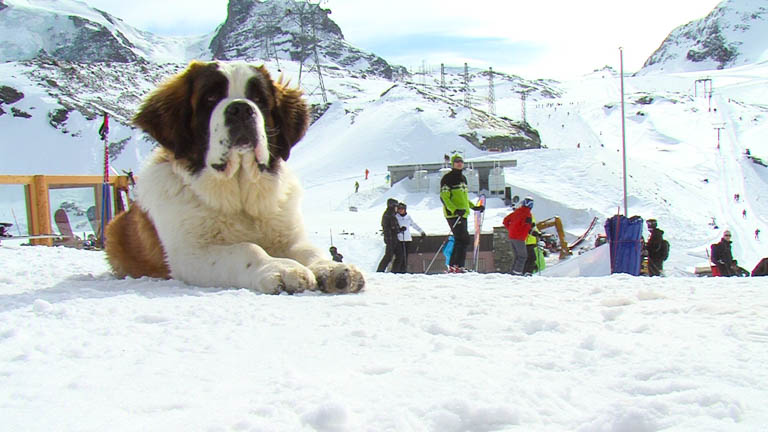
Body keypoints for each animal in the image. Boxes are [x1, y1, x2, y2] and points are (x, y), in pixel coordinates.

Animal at [105, 60, 366, 296]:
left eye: (259, 99)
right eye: (210, 98)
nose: (240, 108)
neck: (240, 194)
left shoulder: (288, 236)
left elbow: (309, 250)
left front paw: (332, 268)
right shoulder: (190, 253)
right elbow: (246, 249)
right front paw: (280, 267)